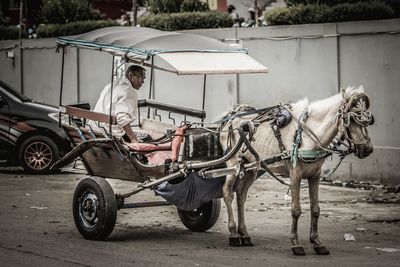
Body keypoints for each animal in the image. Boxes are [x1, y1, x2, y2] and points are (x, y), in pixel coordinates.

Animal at [219, 87, 372, 256]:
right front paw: (296, 243)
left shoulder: (315, 176)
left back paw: (244, 234)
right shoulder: (295, 175)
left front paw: (317, 243)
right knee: (227, 192)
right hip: (232, 164)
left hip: (251, 167)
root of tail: (229, 119)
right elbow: (296, 210)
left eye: (368, 119)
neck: (307, 136)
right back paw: (233, 233)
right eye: (351, 119)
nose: (368, 149)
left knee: (241, 195)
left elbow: (315, 209)